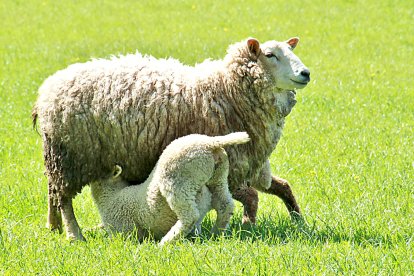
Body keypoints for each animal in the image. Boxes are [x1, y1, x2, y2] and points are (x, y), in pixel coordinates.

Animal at [90, 133, 249, 245]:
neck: (110, 197)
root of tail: (210, 143)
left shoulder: (122, 229)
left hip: (178, 181)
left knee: (190, 216)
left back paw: (166, 242)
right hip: (218, 177)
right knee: (225, 205)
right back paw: (215, 233)